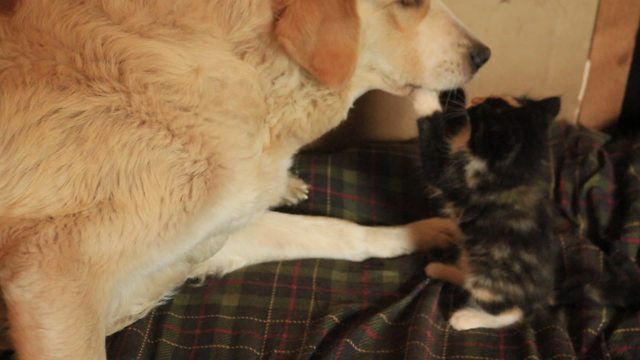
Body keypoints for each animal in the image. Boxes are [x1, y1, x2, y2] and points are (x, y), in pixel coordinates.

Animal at [1, 0, 490, 358]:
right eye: (408, 2)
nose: (484, 54)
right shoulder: (50, 280)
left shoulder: (208, 235)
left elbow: (336, 231)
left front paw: (421, 232)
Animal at [416, 91, 560, 330]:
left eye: (481, 112)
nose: (474, 100)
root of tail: (539, 297)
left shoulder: (454, 177)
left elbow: (432, 151)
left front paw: (424, 99)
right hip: (470, 255)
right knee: (466, 276)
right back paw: (439, 268)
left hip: (489, 277)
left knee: (510, 312)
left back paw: (465, 318)